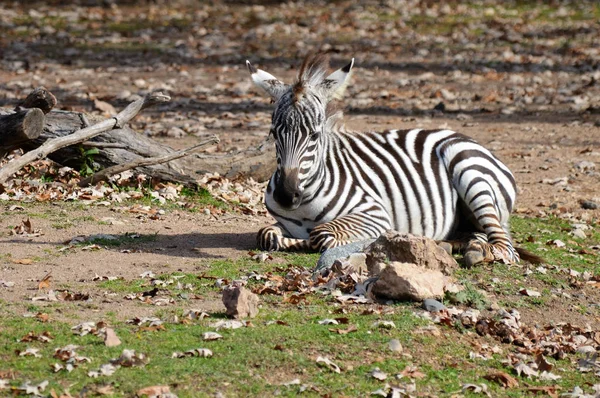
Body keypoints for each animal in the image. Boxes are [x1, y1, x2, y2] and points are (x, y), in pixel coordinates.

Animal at [246, 51, 540, 266]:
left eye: (315, 135)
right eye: (273, 133)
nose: (286, 196)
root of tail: (468, 139)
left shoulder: (374, 213)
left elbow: (322, 235)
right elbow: (266, 235)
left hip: (469, 171)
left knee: (505, 247)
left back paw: (480, 252)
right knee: (479, 233)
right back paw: (453, 245)